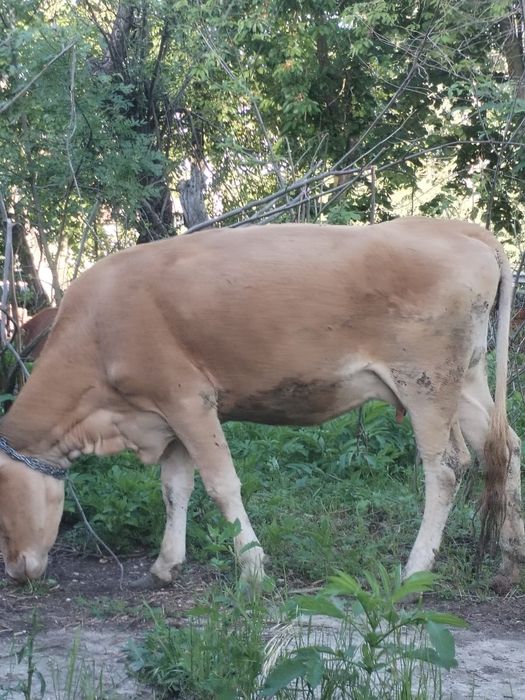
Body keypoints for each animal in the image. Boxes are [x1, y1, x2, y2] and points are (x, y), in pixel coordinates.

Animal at [0, 217, 523, 593]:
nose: (15, 571)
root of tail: (459, 227)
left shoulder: (188, 399)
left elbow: (221, 485)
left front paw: (252, 569)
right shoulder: (166, 412)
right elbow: (175, 488)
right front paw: (166, 565)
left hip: (426, 382)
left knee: (447, 468)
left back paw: (415, 573)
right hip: (467, 379)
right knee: (505, 449)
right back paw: (509, 560)